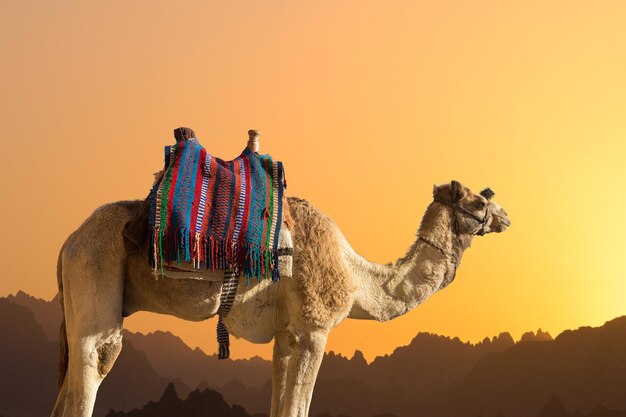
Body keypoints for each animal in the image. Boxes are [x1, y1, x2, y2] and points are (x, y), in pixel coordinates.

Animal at [48, 179, 508, 416]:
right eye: (477, 201)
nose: (505, 216)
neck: (357, 278)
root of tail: (68, 242)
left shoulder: (287, 337)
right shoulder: (314, 329)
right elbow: (297, 408)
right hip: (95, 273)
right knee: (99, 359)